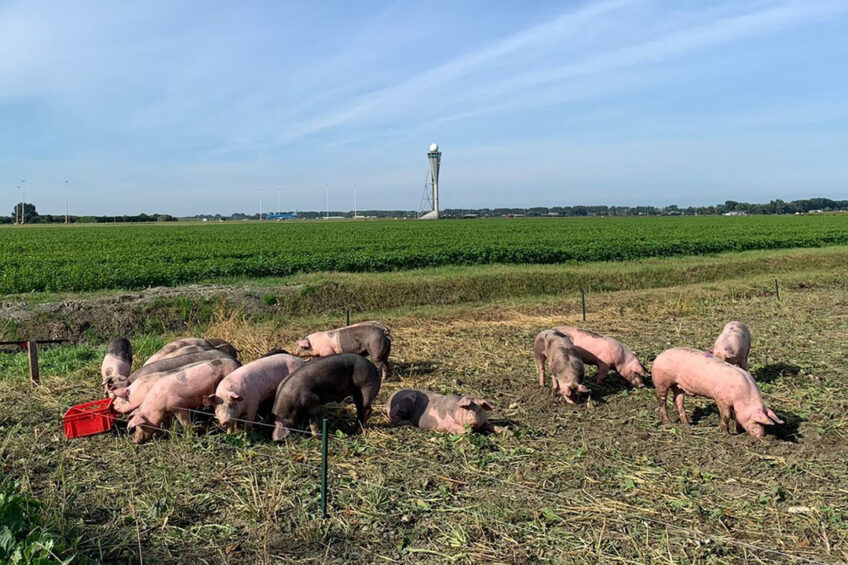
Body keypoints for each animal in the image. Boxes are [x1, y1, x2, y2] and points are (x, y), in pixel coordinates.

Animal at [652, 346, 784, 438]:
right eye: (756, 421)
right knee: (661, 400)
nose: (762, 436)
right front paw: (725, 433)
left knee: (678, 400)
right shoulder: (721, 399)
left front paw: (738, 431)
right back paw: (668, 421)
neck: (742, 397)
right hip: (661, 381)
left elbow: (736, 417)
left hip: (677, 386)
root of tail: (659, 356)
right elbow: (726, 416)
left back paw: (687, 424)